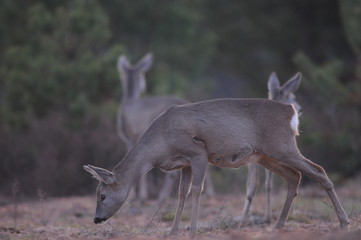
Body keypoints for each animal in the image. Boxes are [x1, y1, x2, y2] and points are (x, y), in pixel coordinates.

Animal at [83, 98, 348, 236]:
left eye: (102, 195)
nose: (96, 218)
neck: (161, 143)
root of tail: (292, 111)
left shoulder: (198, 152)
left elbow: (196, 191)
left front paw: (192, 230)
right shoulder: (185, 163)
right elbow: (181, 193)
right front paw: (173, 231)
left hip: (281, 146)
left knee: (319, 170)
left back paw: (344, 222)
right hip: (264, 155)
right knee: (295, 176)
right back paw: (278, 225)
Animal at [240, 72, 302, 224]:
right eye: (292, 97)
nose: (300, 109)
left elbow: (266, 184)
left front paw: (268, 216)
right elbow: (257, 185)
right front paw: (246, 218)